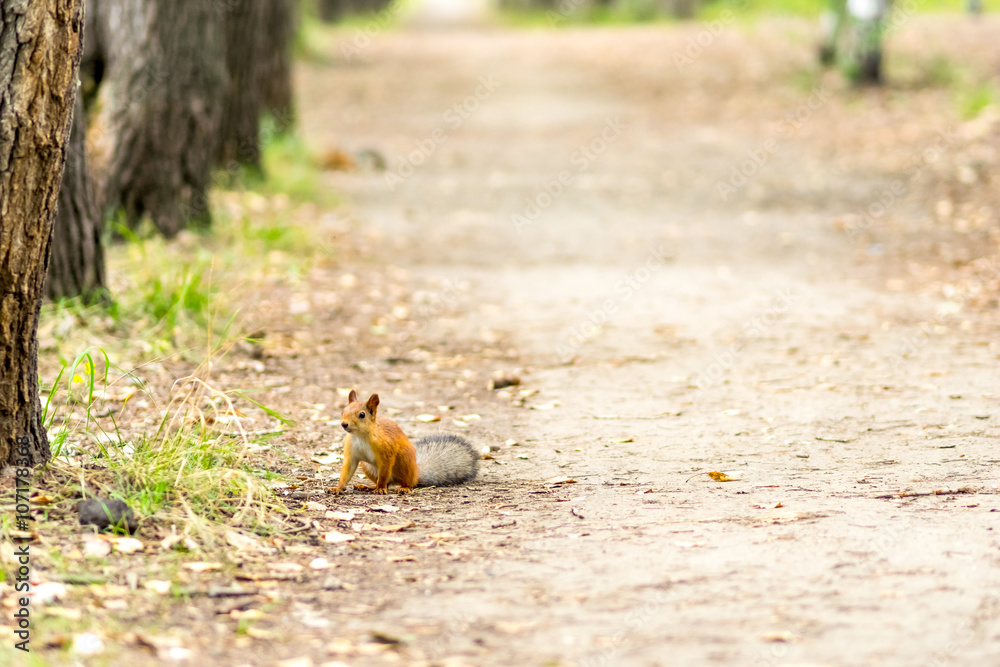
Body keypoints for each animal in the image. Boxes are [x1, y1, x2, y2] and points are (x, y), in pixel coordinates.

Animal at [334, 388, 478, 494]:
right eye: (343, 411)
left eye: (362, 415)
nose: (344, 424)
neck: (361, 436)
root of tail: (416, 473)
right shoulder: (351, 451)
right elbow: (347, 470)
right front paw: (338, 488)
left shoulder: (386, 450)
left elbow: (385, 470)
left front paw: (380, 489)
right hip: (367, 466)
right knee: (387, 483)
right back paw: (368, 487)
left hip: (404, 460)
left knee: (406, 482)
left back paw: (403, 488)